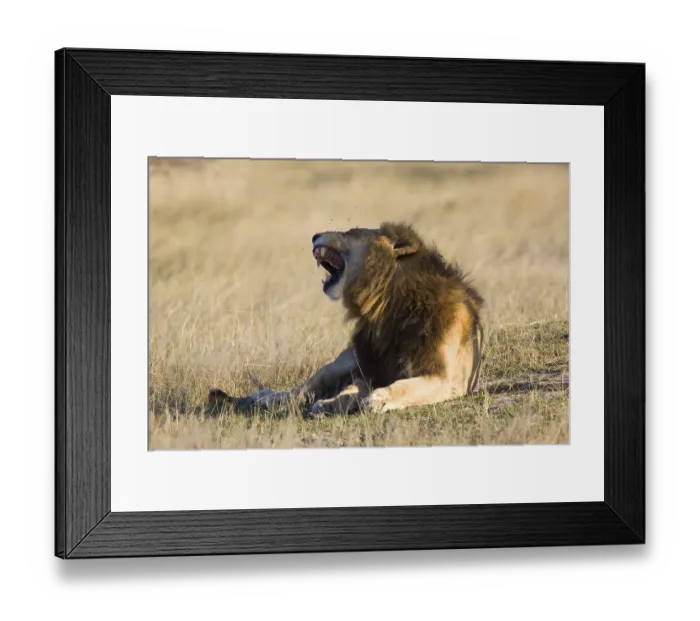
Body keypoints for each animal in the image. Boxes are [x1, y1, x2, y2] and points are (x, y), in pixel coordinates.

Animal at [209, 222, 484, 417]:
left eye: (349, 231)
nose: (314, 235)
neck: (388, 305)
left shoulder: (449, 378)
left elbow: (407, 386)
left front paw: (379, 398)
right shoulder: (369, 367)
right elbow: (352, 389)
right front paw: (332, 403)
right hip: (342, 361)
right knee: (301, 390)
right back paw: (270, 397)